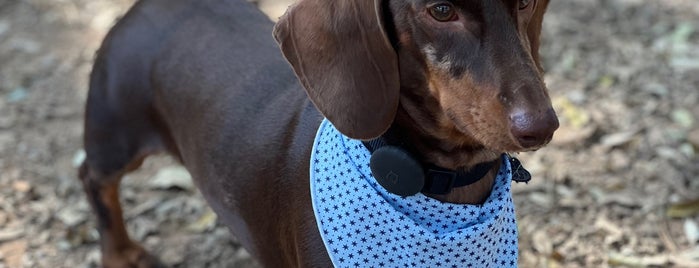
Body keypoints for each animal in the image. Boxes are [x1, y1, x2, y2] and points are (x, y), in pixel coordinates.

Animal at [79, 0, 556, 266]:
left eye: (526, 1)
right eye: (441, 10)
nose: (542, 126)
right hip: (115, 135)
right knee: (93, 178)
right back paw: (120, 254)